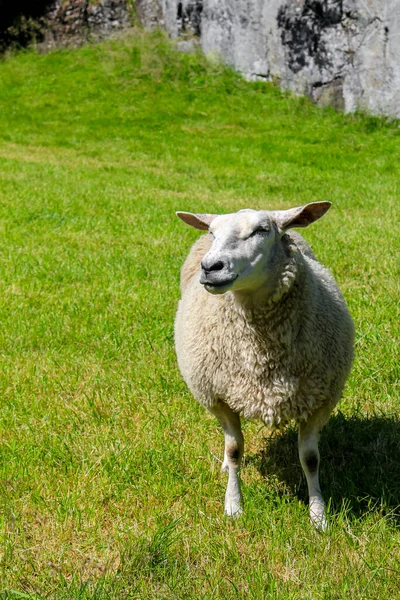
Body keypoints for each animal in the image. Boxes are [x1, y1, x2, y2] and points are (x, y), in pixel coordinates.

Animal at [175, 203, 354, 528]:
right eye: (213, 232)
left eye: (261, 230)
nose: (211, 267)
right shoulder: (221, 399)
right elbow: (235, 451)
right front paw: (234, 505)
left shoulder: (319, 400)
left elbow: (310, 459)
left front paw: (318, 514)